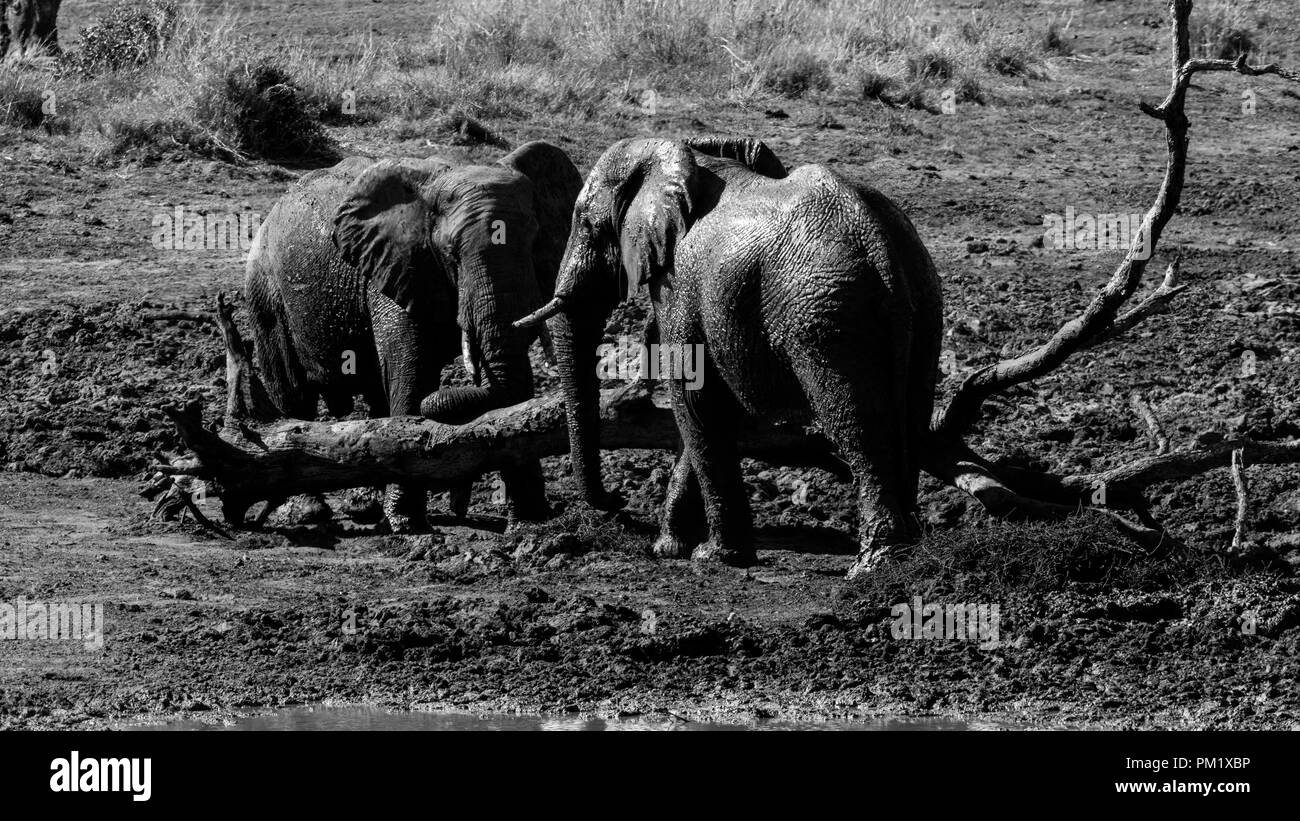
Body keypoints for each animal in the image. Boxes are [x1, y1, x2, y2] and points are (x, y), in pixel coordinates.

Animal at [245, 139, 582, 532]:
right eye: (451, 254)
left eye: (533, 241)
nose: (458, 501)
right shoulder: (395, 266)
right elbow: (410, 370)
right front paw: (408, 524)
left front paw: (531, 524)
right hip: (266, 293)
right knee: (294, 395)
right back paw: (308, 512)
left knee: (374, 396)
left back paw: (365, 508)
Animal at [517, 136, 946, 576]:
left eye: (586, 224)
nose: (615, 502)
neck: (685, 156)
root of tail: (879, 242)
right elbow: (716, 407)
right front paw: (670, 548)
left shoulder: (680, 284)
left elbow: (693, 399)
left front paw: (714, 555)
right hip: (925, 302)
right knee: (911, 419)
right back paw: (910, 556)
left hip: (828, 316)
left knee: (858, 426)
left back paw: (874, 566)